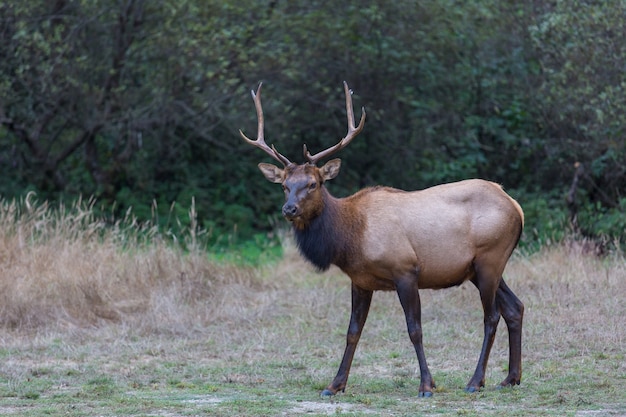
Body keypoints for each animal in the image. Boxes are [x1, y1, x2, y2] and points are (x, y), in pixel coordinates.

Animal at [239, 81, 520, 396]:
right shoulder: (360, 280)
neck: (350, 238)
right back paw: (510, 378)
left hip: (490, 259)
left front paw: (427, 385)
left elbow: (414, 329)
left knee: (491, 316)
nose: (289, 209)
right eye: (285, 186)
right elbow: (352, 332)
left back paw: (475, 381)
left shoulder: (406, 270)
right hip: (480, 268)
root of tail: (515, 205)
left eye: (313, 184)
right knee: (514, 308)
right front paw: (334, 384)